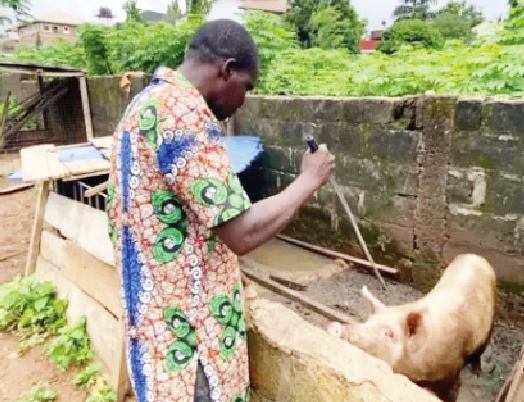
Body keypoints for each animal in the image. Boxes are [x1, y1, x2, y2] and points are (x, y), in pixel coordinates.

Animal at [328, 254, 496, 402]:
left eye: (388, 333)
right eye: (367, 322)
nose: (335, 326)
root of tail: (475, 256)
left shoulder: (452, 370)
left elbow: (453, 391)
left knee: (481, 350)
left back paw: (477, 373)